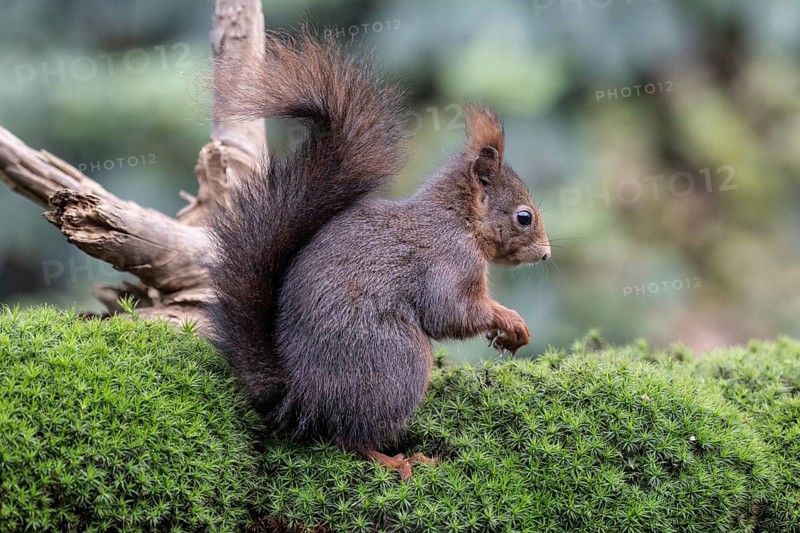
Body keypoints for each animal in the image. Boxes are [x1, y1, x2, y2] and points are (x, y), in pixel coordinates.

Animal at [206, 29, 551, 481]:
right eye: (523, 217)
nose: (546, 254)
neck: (458, 220)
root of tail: (301, 395)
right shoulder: (449, 261)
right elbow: (450, 312)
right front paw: (510, 320)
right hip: (397, 359)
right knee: (349, 438)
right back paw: (398, 460)